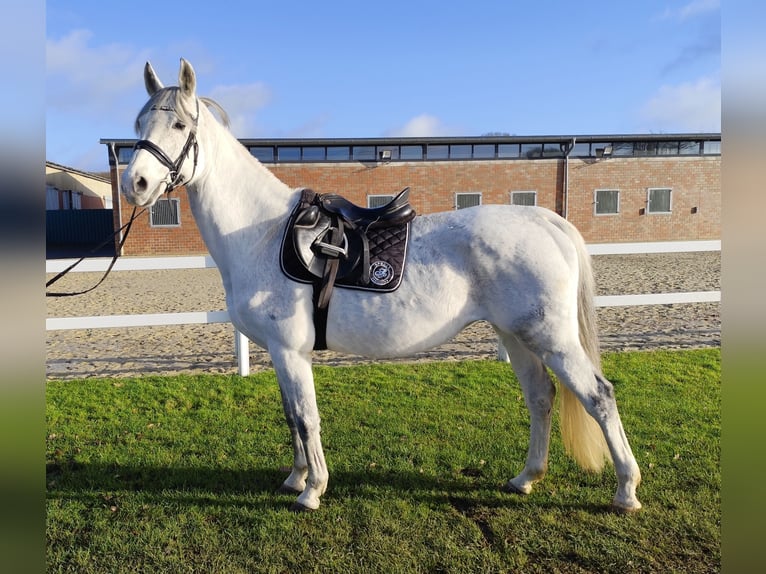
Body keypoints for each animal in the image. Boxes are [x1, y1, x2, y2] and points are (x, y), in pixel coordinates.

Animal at [123, 58, 644, 516]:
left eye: (178, 125)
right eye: (139, 123)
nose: (136, 183)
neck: (263, 234)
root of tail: (546, 220)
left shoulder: (291, 351)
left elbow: (307, 418)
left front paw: (312, 490)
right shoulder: (279, 353)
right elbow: (292, 417)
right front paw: (295, 476)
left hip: (551, 339)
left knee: (599, 397)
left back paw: (625, 491)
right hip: (516, 336)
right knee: (541, 398)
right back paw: (525, 478)